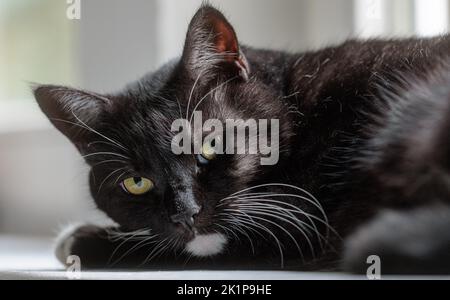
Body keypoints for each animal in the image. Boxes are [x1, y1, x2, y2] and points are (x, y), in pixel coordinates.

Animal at [34, 4, 450, 274]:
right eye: (136, 182)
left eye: (209, 145)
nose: (185, 214)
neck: (296, 103)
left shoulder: (301, 218)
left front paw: (78, 240)